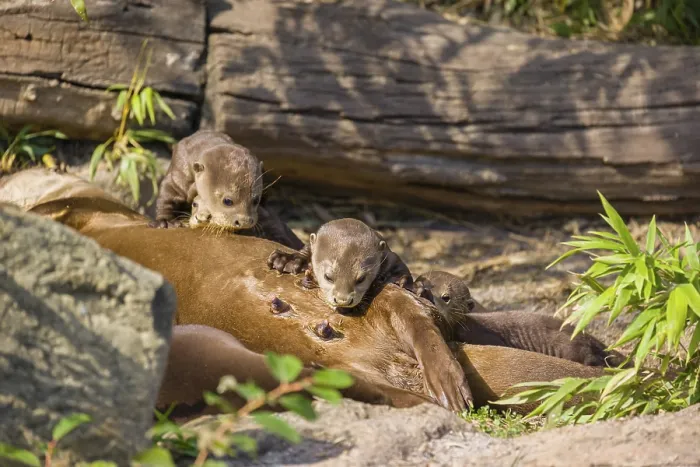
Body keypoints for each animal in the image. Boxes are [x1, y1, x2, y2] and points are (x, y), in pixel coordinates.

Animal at [267, 218, 413, 310]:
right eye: (328, 277)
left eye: (361, 279)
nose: (343, 300)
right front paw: (287, 259)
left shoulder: (389, 255)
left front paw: (399, 280)